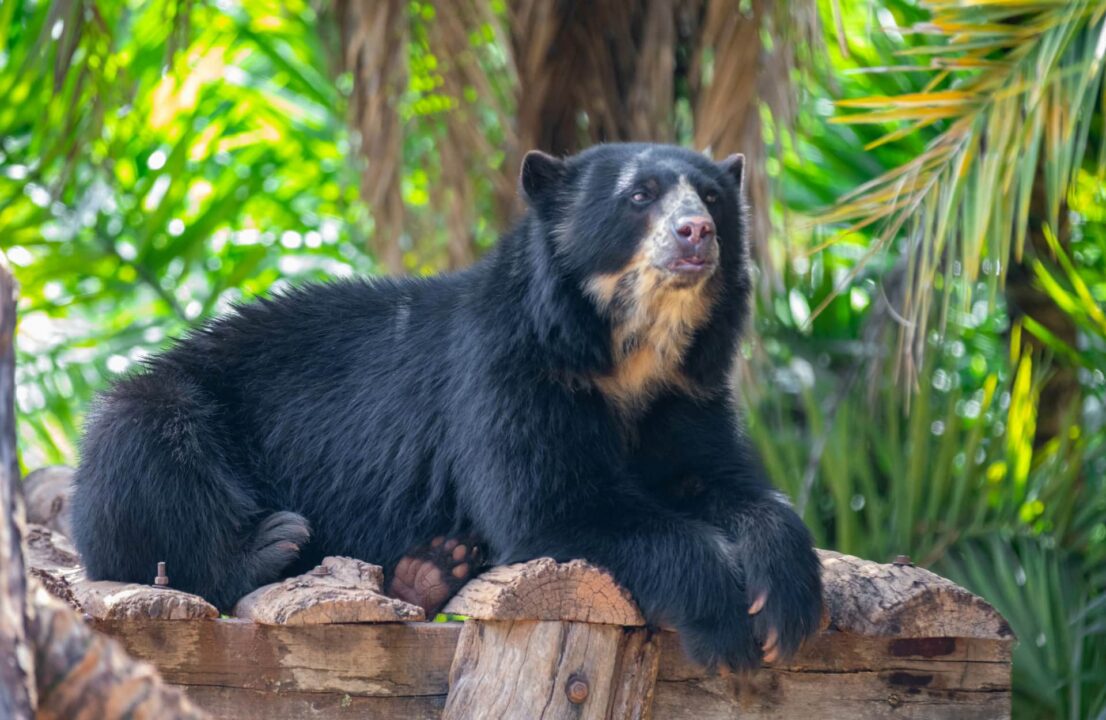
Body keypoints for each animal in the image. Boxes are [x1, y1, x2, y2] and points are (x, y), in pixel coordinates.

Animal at [71, 143, 822, 672]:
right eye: (640, 196)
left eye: (714, 198)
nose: (696, 233)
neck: (628, 352)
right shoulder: (507, 375)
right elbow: (552, 505)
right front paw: (724, 618)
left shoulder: (688, 390)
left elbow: (723, 482)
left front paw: (785, 601)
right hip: (165, 411)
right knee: (147, 454)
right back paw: (273, 545)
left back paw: (433, 568)